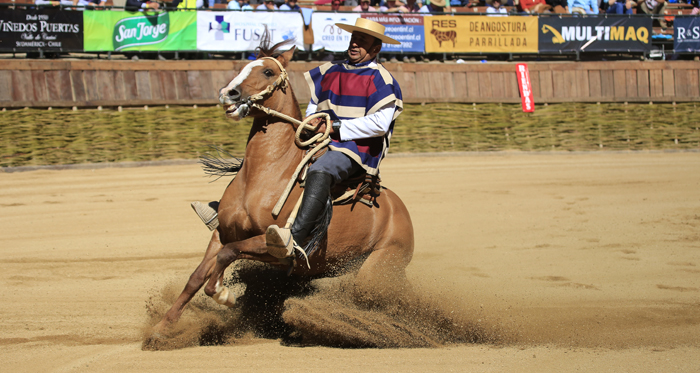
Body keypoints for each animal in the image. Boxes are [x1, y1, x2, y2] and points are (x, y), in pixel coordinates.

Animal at [145, 37, 412, 342]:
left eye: (268, 72)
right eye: (244, 66)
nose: (228, 94)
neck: (263, 175)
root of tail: (399, 210)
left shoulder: (272, 248)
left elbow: (229, 254)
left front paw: (223, 293)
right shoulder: (221, 234)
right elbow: (196, 278)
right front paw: (161, 329)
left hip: (378, 269)